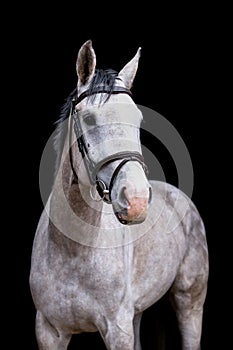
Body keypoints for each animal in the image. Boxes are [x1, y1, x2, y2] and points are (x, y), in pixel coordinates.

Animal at [29, 39, 209, 348]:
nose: (136, 201)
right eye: (89, 119)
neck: (72, 251)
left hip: (190, 301)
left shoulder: (117, 329)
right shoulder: (49, 331)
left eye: (138, 118)